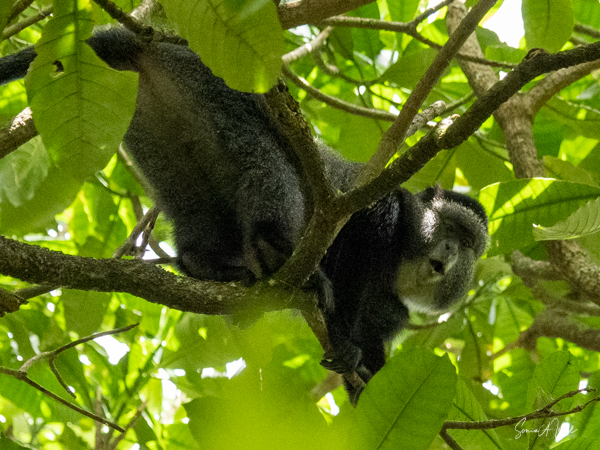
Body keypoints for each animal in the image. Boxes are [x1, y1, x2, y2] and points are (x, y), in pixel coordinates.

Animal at [0, 27, 489, 403]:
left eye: (468, 244)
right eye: (453, 230)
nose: (449, 251)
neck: (400, 260)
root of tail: (153, 47)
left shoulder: (390, 310)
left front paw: (362, 373)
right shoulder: (379, 207)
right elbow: (357, 240)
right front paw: (342, 338)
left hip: (155, 128)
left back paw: (208, 265)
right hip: (219, 92)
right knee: (265, 160)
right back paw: (275, 250)